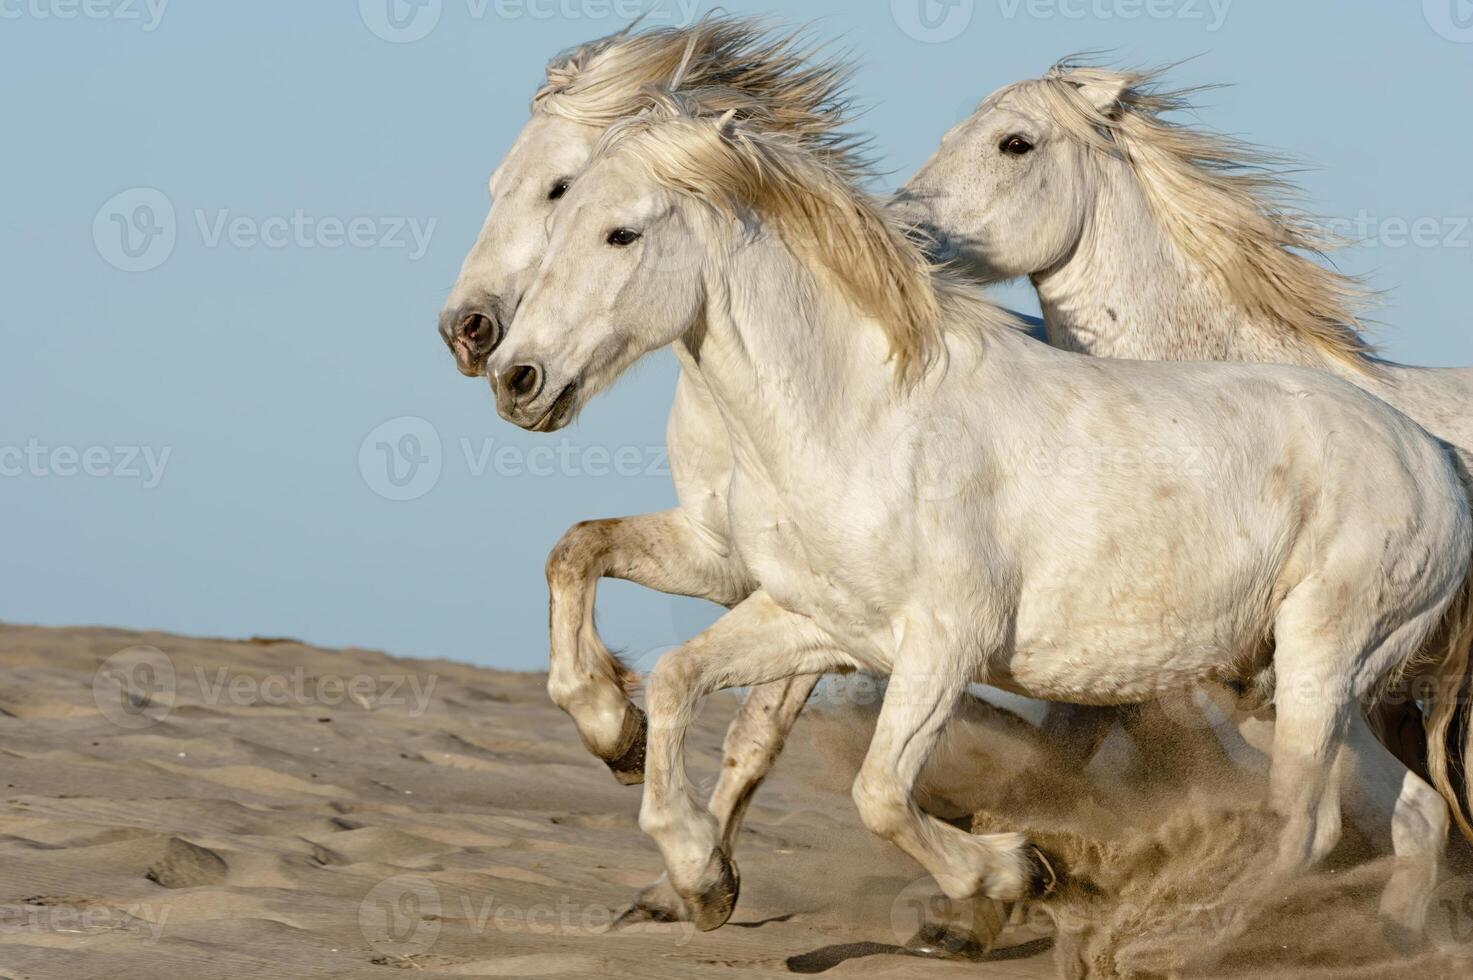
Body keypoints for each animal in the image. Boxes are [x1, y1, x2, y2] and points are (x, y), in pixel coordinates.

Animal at [491, 100, 1473, 943]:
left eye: (621, 232)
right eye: (558, 217)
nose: (514, 377)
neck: (863, 412)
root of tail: (1433, 459)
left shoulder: (944, 644)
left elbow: (879, 792)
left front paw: (1011, 871)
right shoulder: (813, 621)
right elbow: (669, 672)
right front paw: (694, 869)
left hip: (1318, 658)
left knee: (1303, 824)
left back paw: (1178, 933)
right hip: (1277, 681)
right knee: (1409, 810)